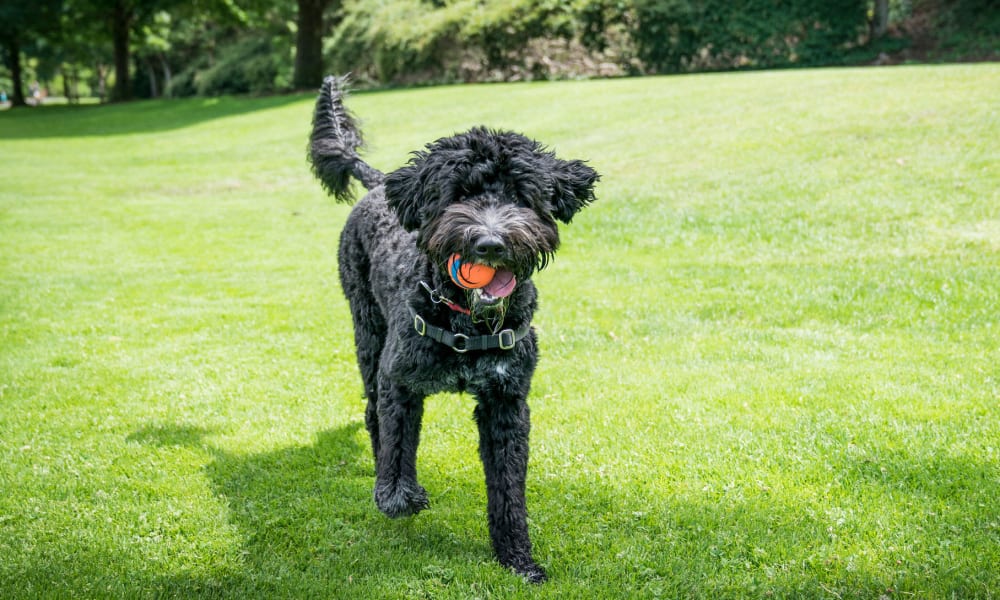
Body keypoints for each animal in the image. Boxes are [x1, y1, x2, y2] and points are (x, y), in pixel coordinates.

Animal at [308, 75, 596, 580]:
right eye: (459, 194)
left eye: (520, 196)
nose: (490, 242)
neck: (464, 319)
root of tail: (380, 185)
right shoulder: (399, 381)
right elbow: (398, 446)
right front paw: (399, 495)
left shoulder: (507, 403)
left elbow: (508, 490)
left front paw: (517, 557)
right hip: (367, 333)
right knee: (373, 413)